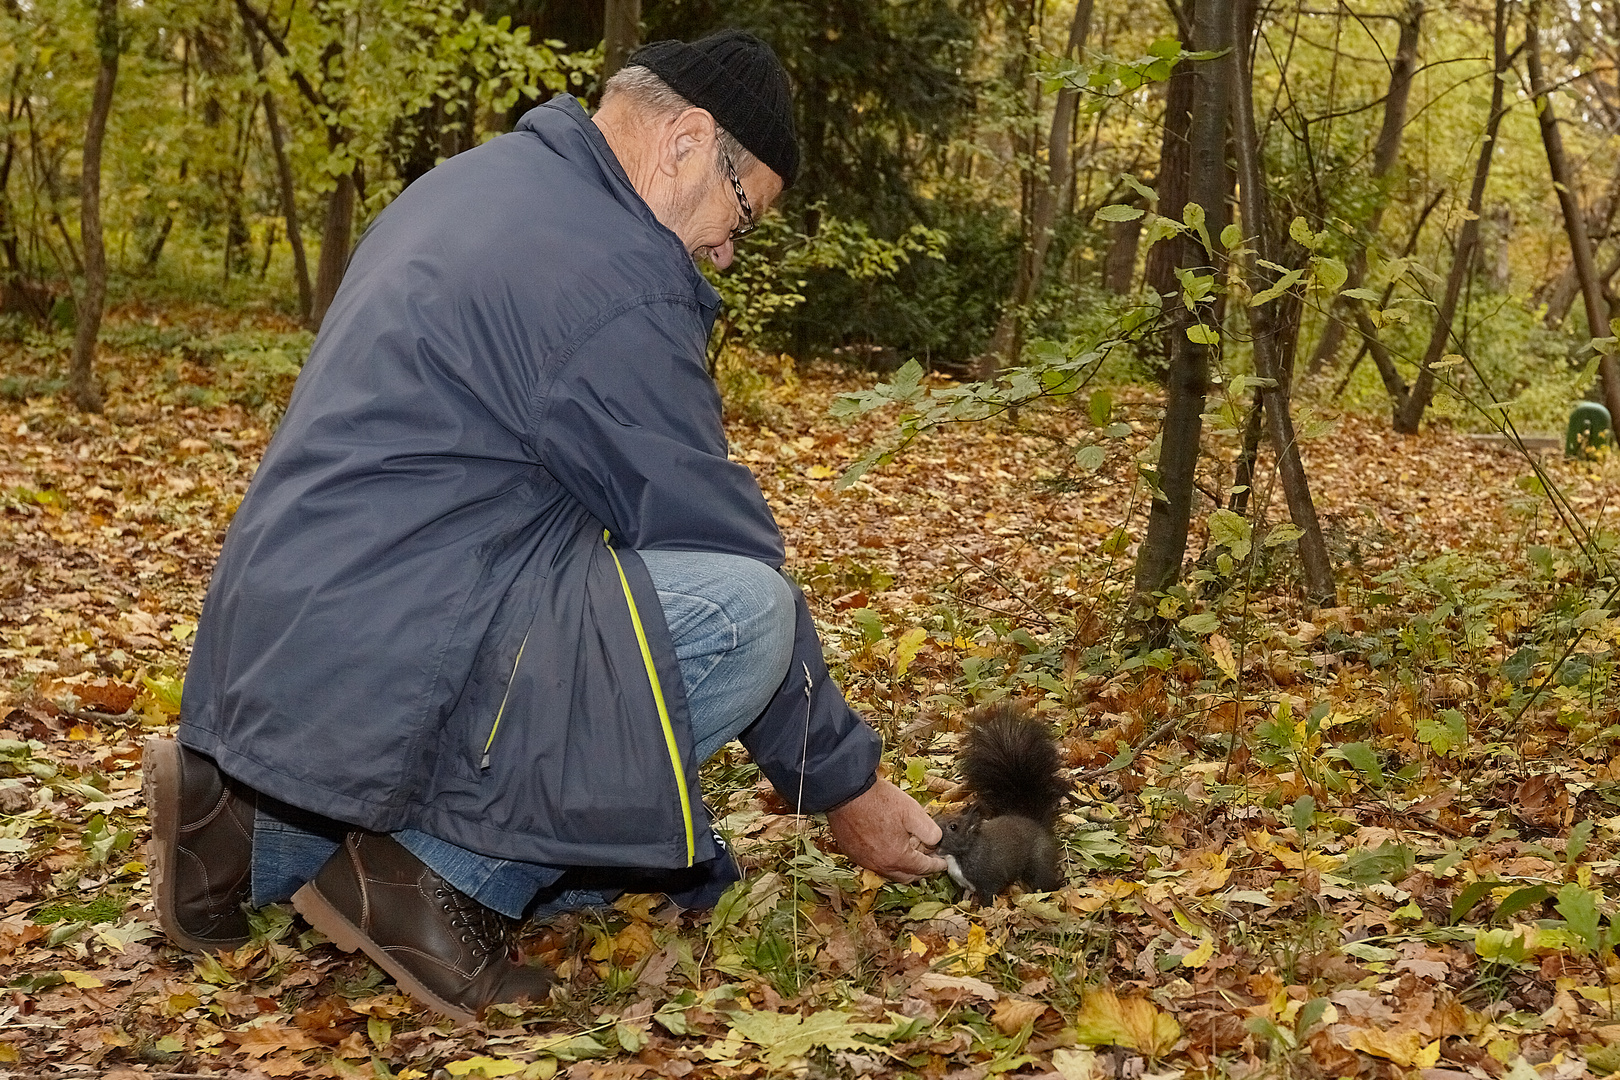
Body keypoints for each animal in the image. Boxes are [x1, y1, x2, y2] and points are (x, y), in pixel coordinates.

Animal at [933, 702, 1069, 906]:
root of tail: (1036, 824)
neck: (959, 856)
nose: (933, 824)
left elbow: (988, 896)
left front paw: (983, 910)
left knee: (1043, 879)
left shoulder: (989, 879)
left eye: (953, 826)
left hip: (1039, 861)